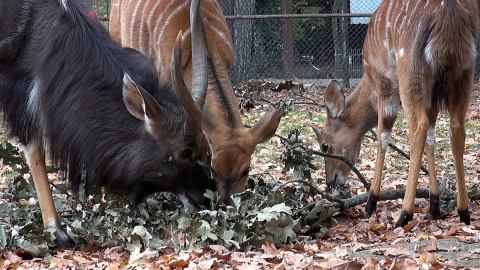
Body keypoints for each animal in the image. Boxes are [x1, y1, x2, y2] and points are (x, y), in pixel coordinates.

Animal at [314, 0, 478, 228]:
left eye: (325, 145)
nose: (331, 181)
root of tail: (448, 12)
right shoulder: (432, 96)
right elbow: (432, 136)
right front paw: (434, 204)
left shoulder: (384, 82)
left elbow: (383, 134)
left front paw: (371, 201)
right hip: (464, 72)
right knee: (456, 127)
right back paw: (463, 211)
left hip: (409, 71)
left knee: (418, 126)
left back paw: (404, 214)